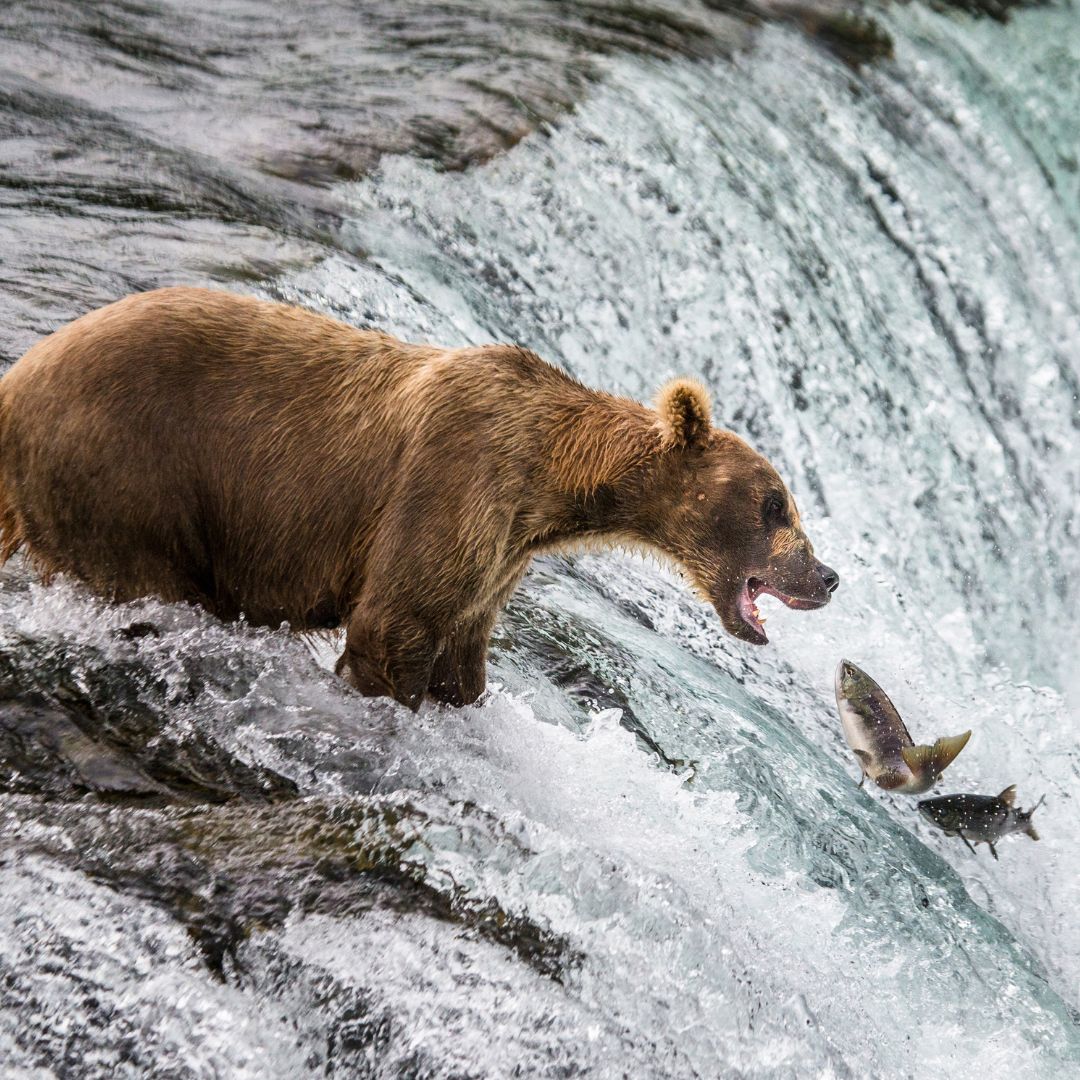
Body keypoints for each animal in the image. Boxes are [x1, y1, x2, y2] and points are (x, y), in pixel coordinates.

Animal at [0, 287, 838, 710]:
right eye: (775, 504)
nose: (827, 576)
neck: (550, 484)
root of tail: (17, 382)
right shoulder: (454, 481)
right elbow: (393, 623)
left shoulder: (499, 558)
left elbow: (460, 653)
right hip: (127, 475)